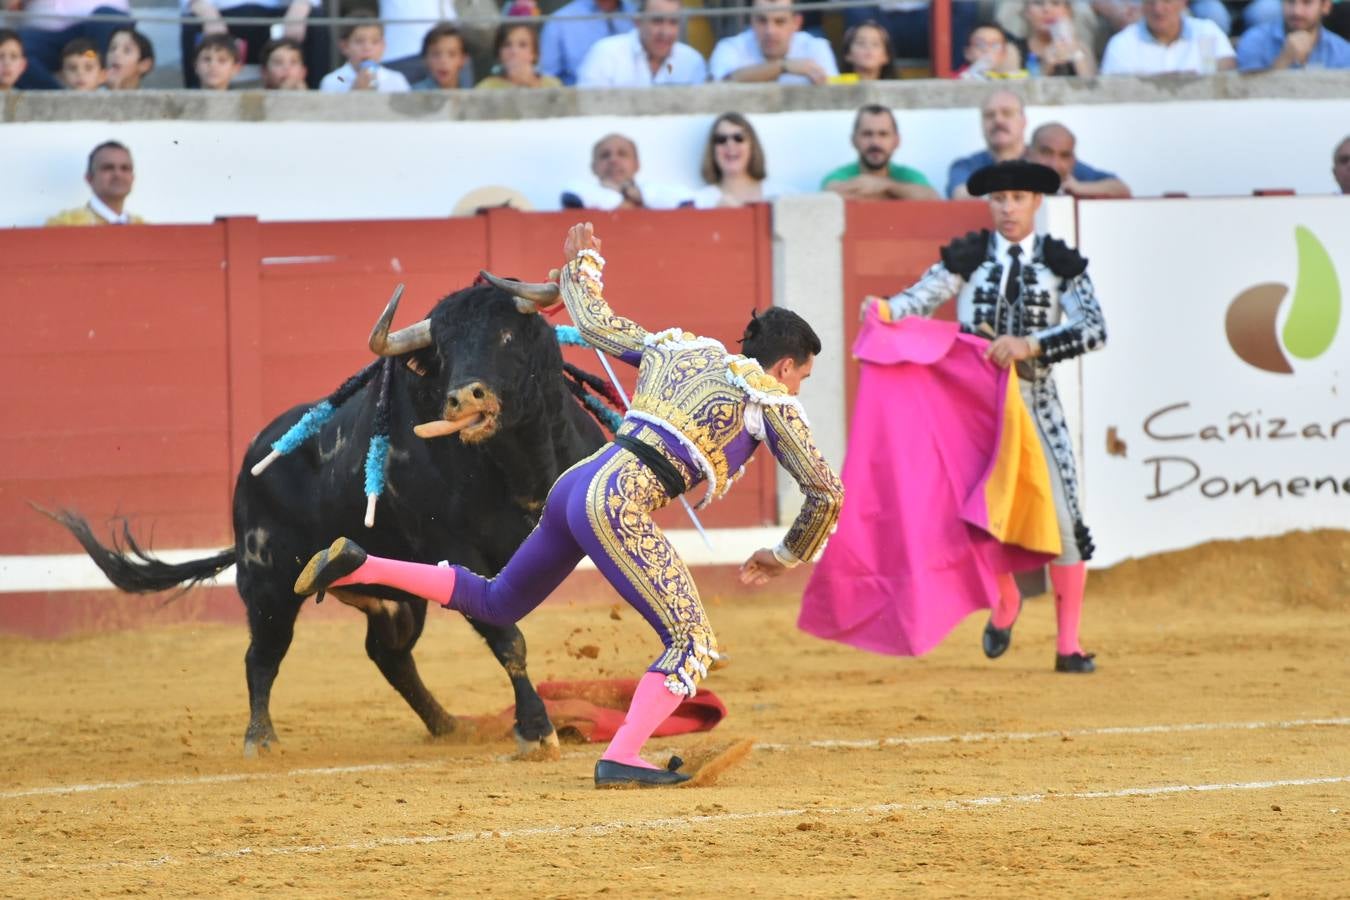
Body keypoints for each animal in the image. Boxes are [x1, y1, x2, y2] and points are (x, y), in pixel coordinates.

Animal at [47, 277, 607, 755]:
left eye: (507, 334)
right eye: (444, 351)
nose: (461, 398)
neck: (519, 460)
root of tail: (254, 455)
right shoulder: (456, 551)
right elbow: (506, 636)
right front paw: (536, 731)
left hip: (390, 596)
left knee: (389, 654)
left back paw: (447, 725)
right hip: (267, 580)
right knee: (263, 655)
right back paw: (262, 740)